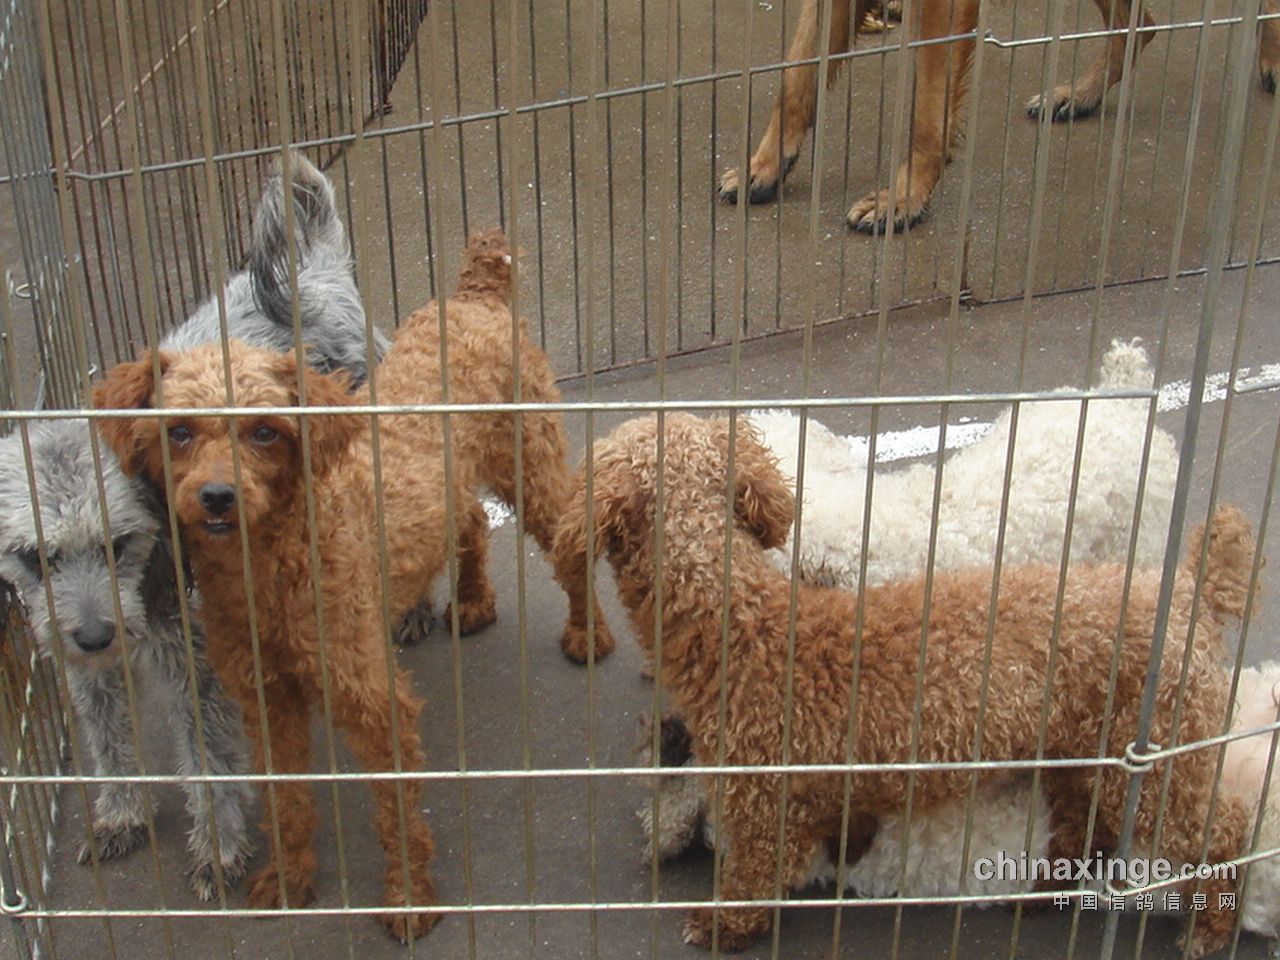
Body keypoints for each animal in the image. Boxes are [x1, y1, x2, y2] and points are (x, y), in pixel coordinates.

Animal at [0, 152, 384, 901]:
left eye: (119, 543)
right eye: (34, 557)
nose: (95, 636)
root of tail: (316, 265)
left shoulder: (198, 670)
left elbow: (210, 765)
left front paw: (218, 848)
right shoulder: (85, 669)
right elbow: (107, 740)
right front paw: (119, 812)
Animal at [558, 414, 1249, 960]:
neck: (745, 625)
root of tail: (1188, 591)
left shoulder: (761, 802)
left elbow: (754, 873)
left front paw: (723, 925)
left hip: (1160, 759)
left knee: (1222, 832)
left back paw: (1211, 926)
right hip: (1083, 755)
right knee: (1088, 827)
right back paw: (1046, 887)